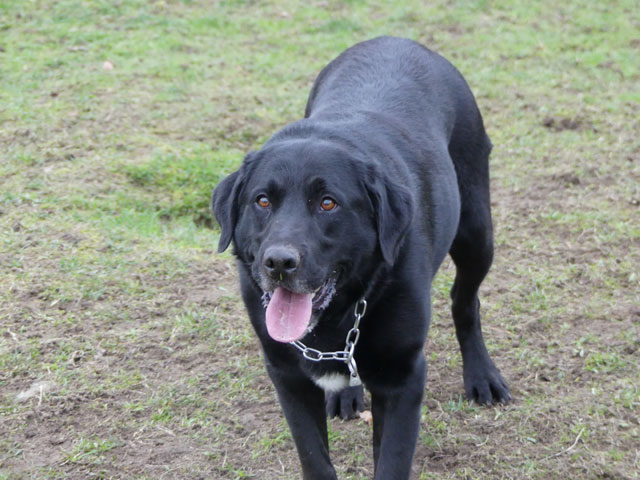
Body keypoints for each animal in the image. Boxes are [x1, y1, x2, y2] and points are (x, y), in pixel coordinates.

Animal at [212, 35, 512, 478]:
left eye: (328, 203)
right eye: (262, 200)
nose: (279, 263)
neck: (339, 315)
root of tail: (397, 39)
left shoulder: (403, 376)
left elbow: (391, 461)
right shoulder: (286, 374)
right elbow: (314, 456)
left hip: (476, 232)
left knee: (465, 301)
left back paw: (482, 376)